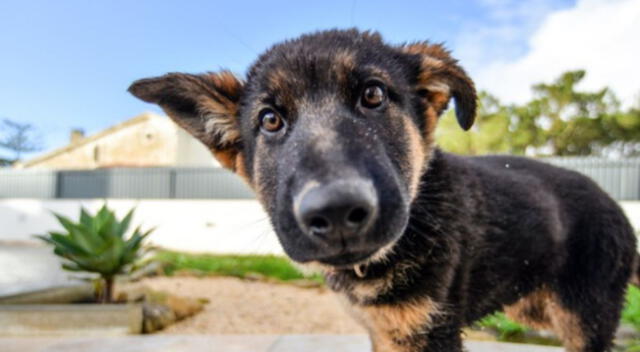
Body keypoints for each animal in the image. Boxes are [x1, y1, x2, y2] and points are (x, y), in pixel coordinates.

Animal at [127, 28, 636, 350]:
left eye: (373, 95)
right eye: (270, 120)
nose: (335, 213)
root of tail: (612, 202)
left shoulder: (430, 333)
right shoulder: (383, 330)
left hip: (585, 315)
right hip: (533, 305)